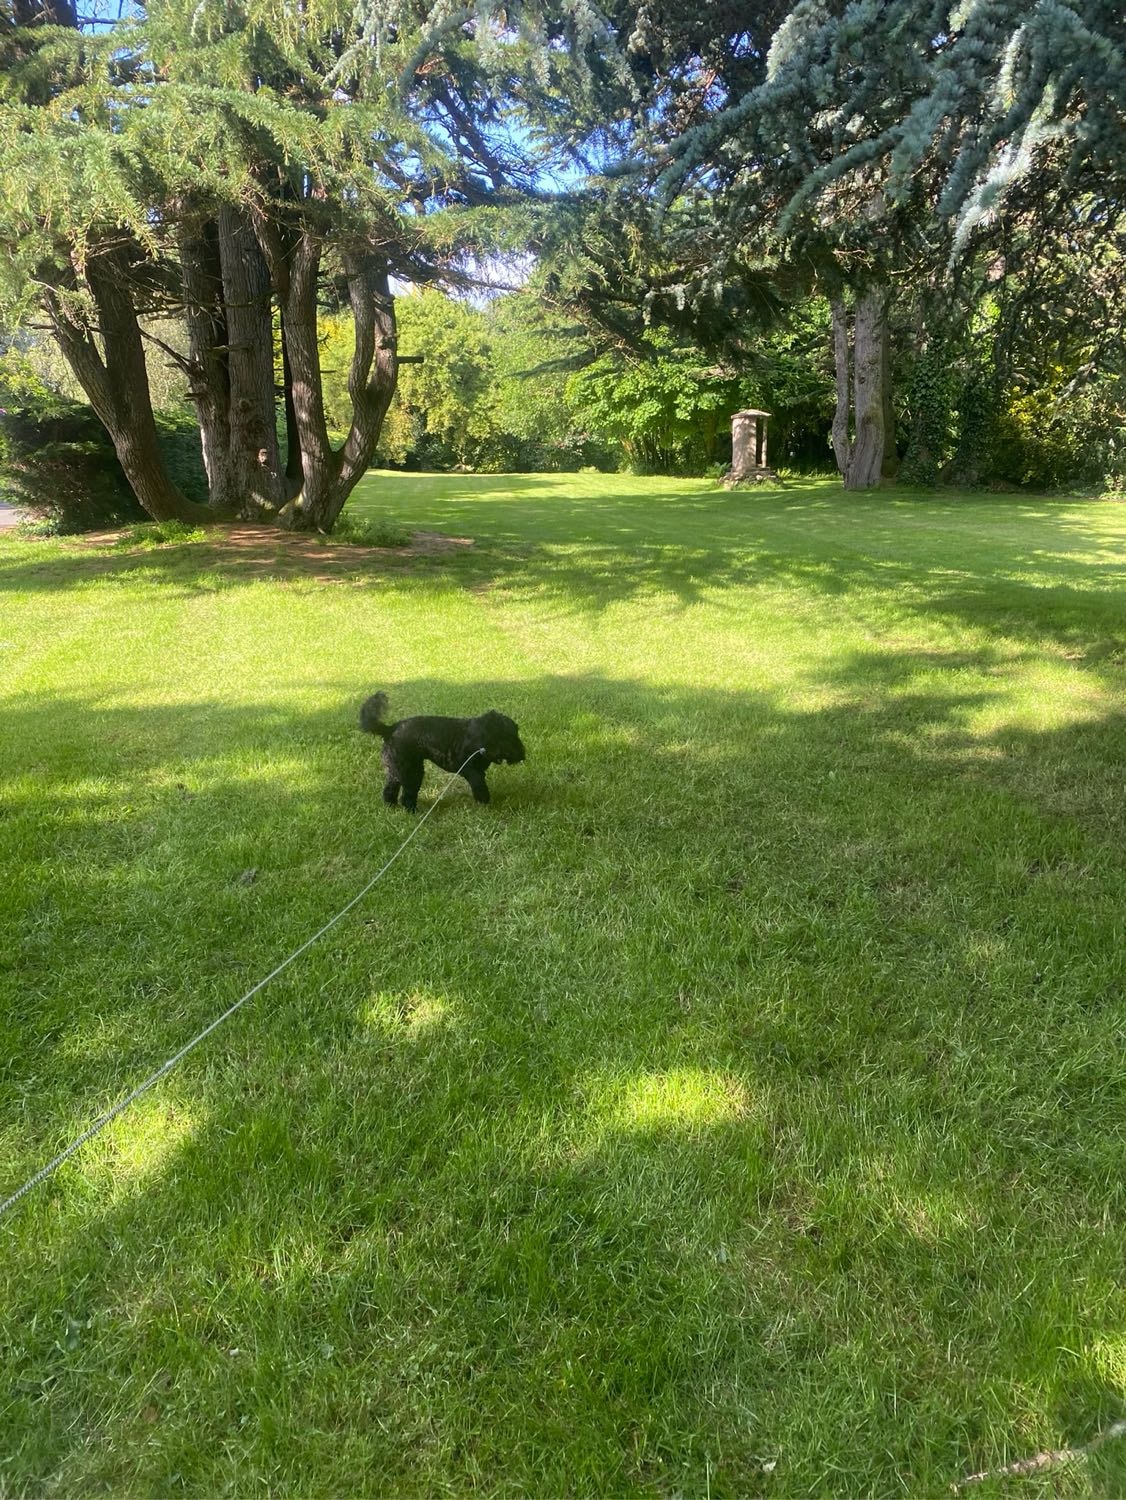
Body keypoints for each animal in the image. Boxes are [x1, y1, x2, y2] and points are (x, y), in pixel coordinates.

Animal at [360, 692, 526, 811]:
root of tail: (390, 729)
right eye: (507, 736)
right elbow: (480, 787)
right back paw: (413, 811)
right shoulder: (472, 771)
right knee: (407, 795)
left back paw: (391, 806)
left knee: (390, 789)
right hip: (412, 771)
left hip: (396, 770)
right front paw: (484, 802)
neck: (478, 737)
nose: (522, 754)